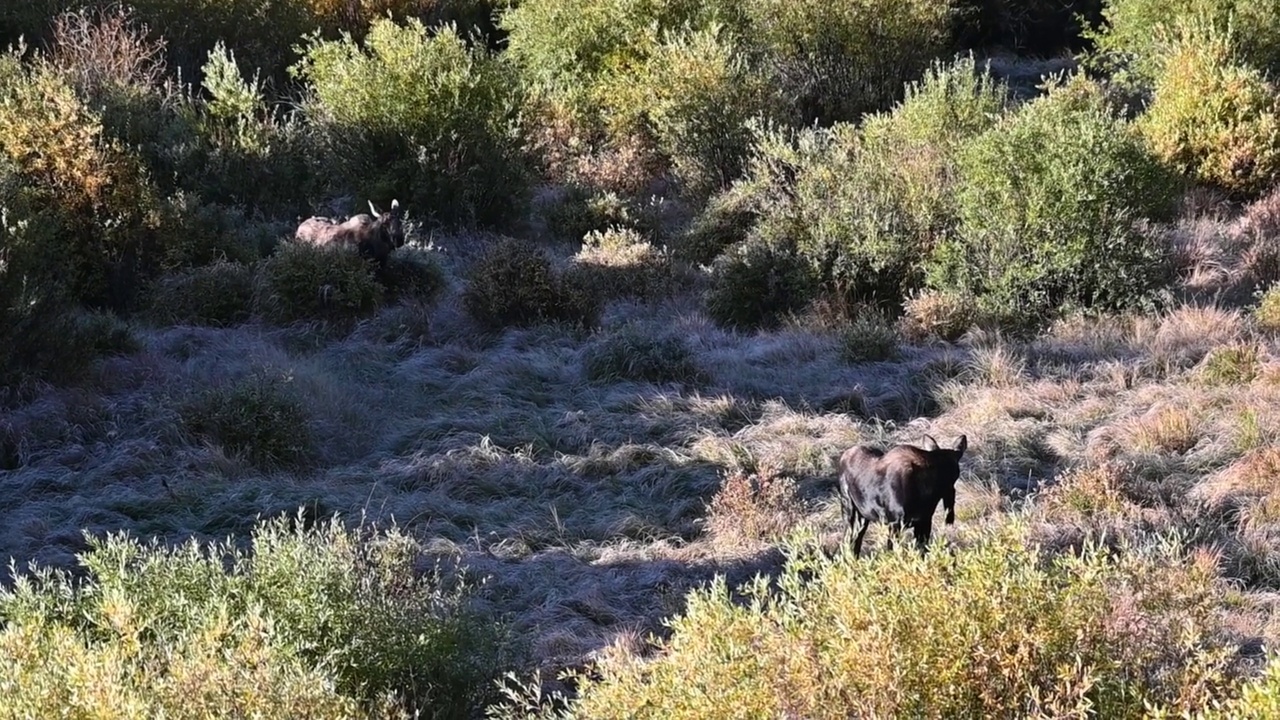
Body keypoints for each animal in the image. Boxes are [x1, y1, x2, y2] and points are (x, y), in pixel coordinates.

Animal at [834, 430, 962, 556]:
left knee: (857, 538)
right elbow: (893, 552)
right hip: (847, 506)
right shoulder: (895, 523)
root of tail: (843, 455)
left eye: (954, 475)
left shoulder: (924, 521)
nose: (950, 517)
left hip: (863, 515)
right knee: (847, 537)